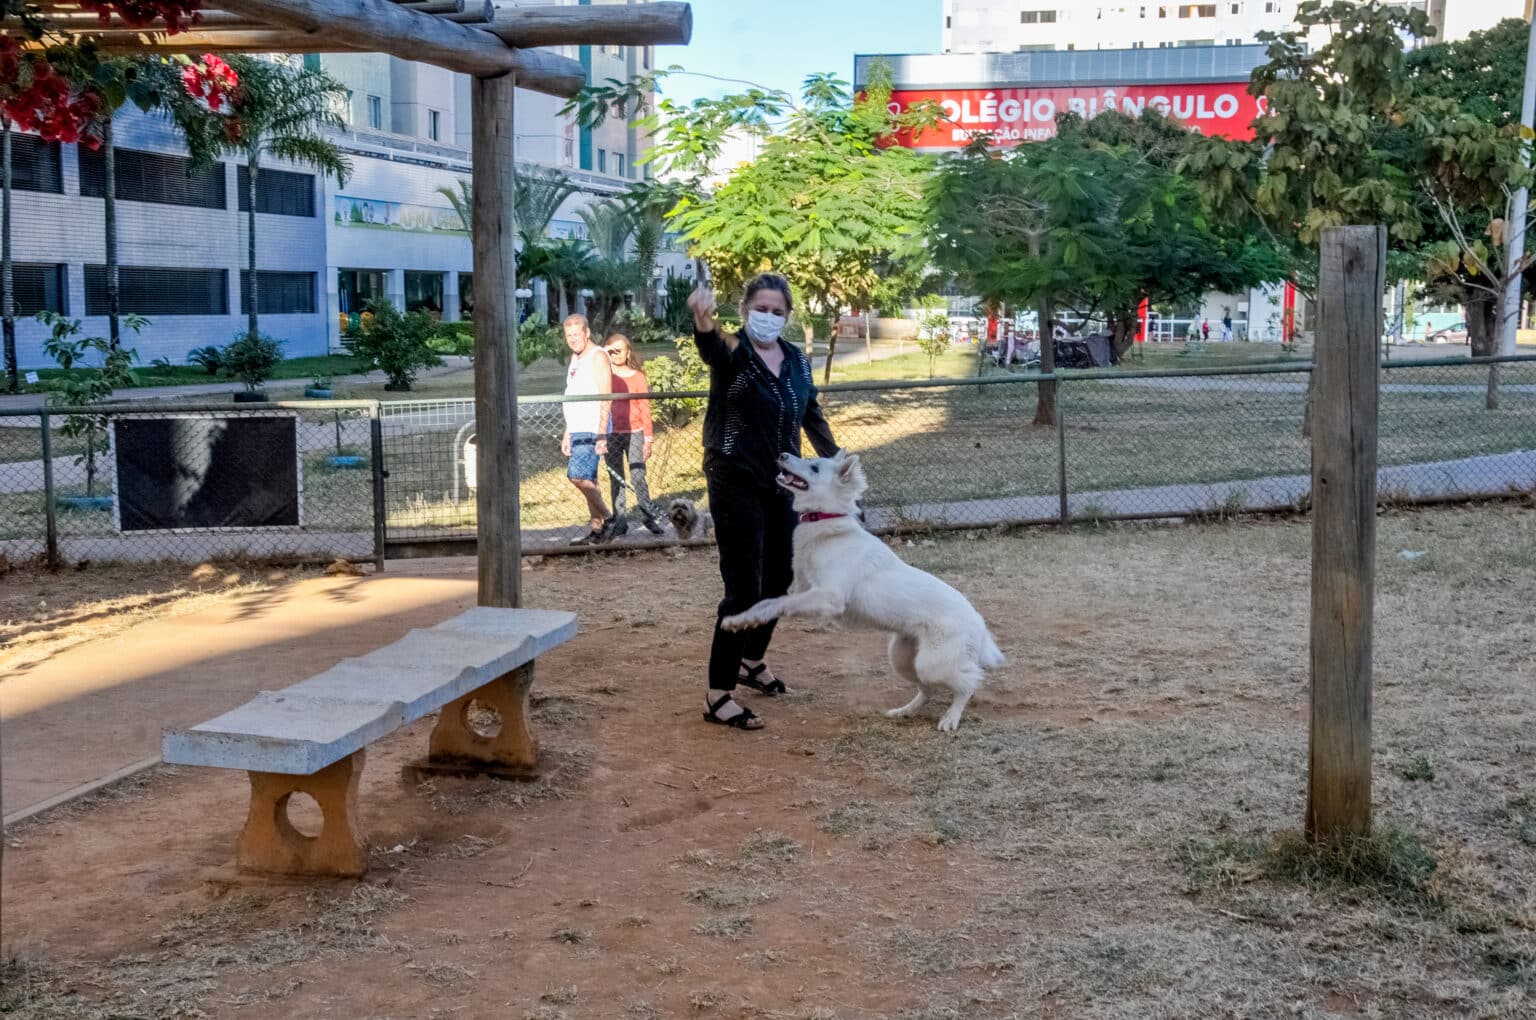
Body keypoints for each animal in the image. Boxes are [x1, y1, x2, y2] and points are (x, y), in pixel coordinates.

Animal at [721, 450, 1004, 731]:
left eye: (814, 468)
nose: (782, 454)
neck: (827, 523)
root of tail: (978, 623)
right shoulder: (804, 590)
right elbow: (767, 603)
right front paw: (739, 620)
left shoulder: (829, 599)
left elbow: (777, 604)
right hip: (902, 658)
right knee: (928, 690)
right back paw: (904, 711)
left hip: (932, 664)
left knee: (969, 683)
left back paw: (951, 717)